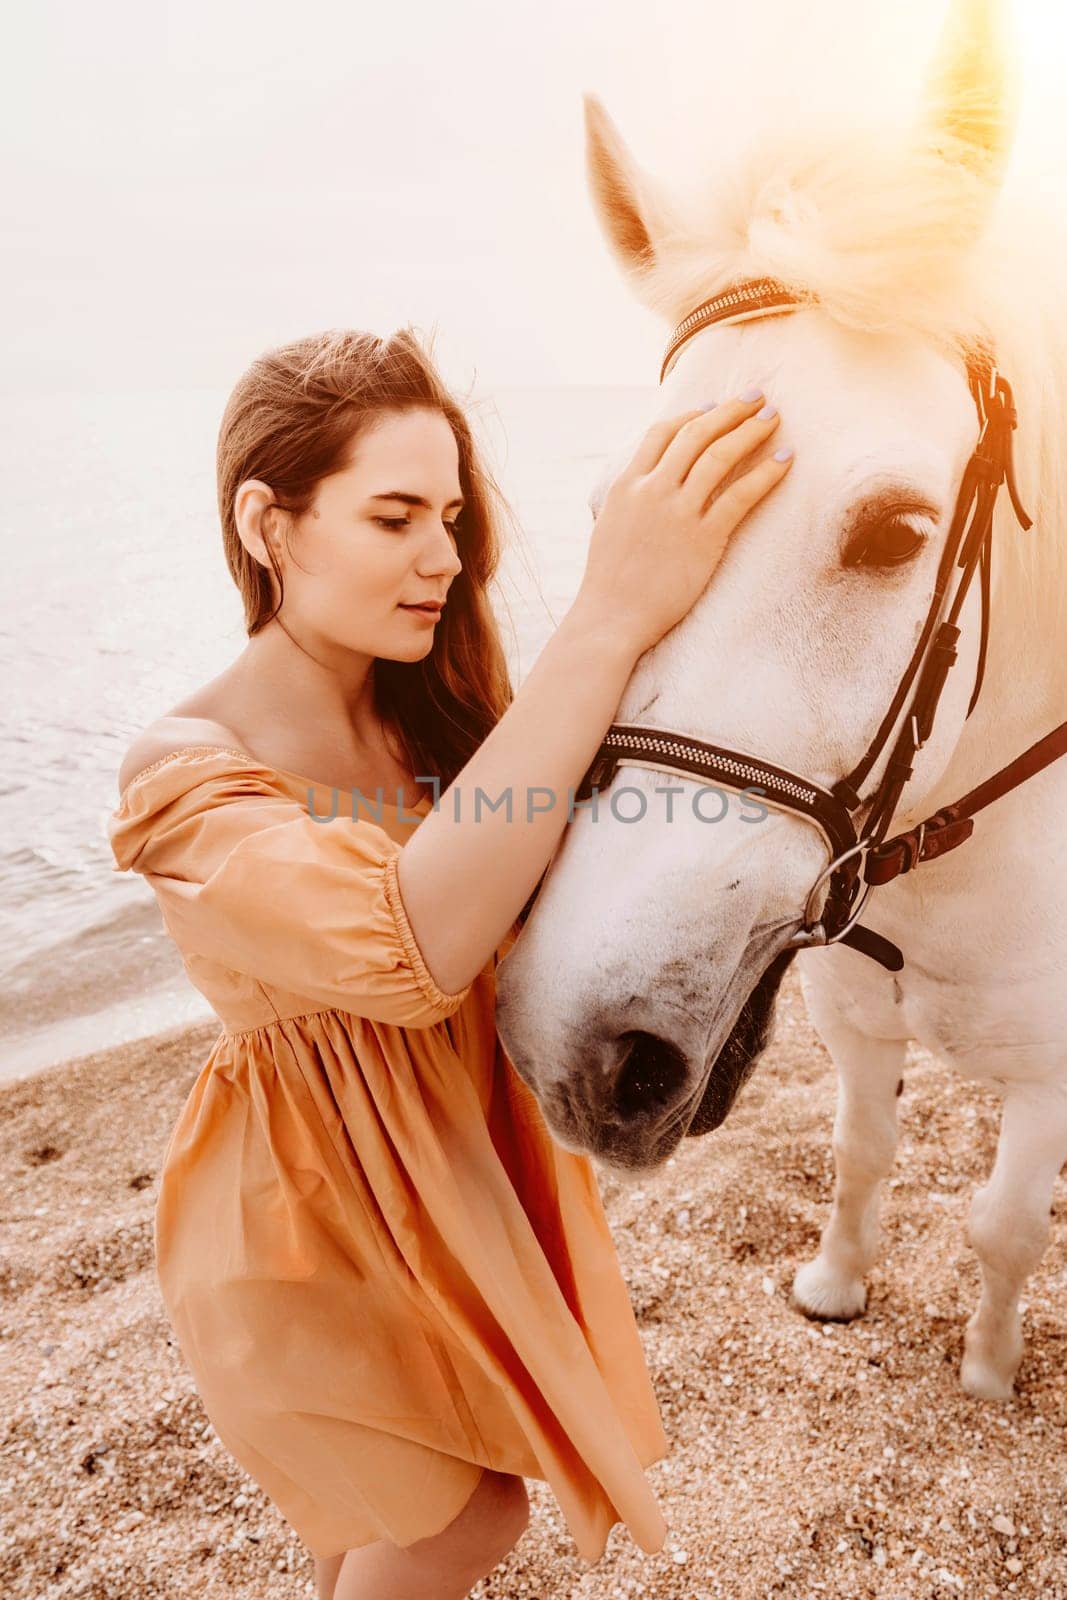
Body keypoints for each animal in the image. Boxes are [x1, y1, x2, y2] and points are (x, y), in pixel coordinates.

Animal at [499, 0, 1067, 1401]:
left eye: (894, 531)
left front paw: (986, 1370)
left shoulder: (1049, 1079)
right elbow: (860, 1155)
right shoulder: (854, 1020)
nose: (574, 1049)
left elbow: (1001, 1221)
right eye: (609, 516)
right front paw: (834, 1288)